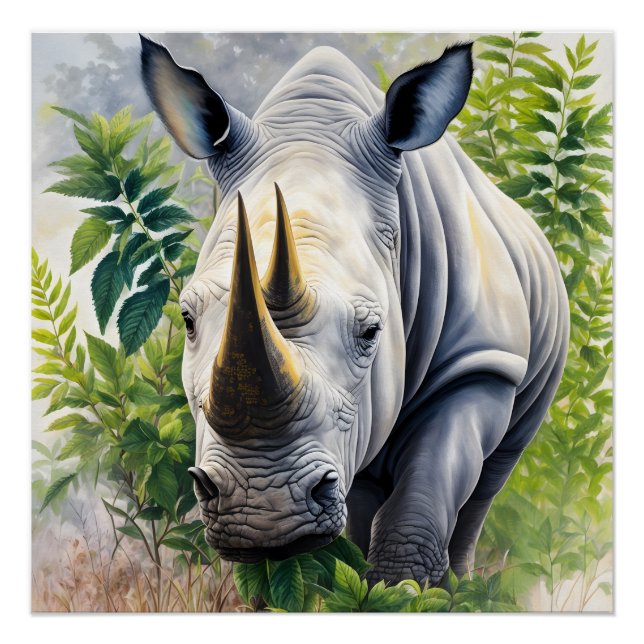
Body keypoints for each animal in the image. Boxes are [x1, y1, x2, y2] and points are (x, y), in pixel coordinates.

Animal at [140, 35, 569, 585]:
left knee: (491, 478)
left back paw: (461, 584)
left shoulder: (480, 360)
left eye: (371, 332)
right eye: (188, 321)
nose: (264, 514)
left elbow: (424, 498)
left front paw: (404, 588)